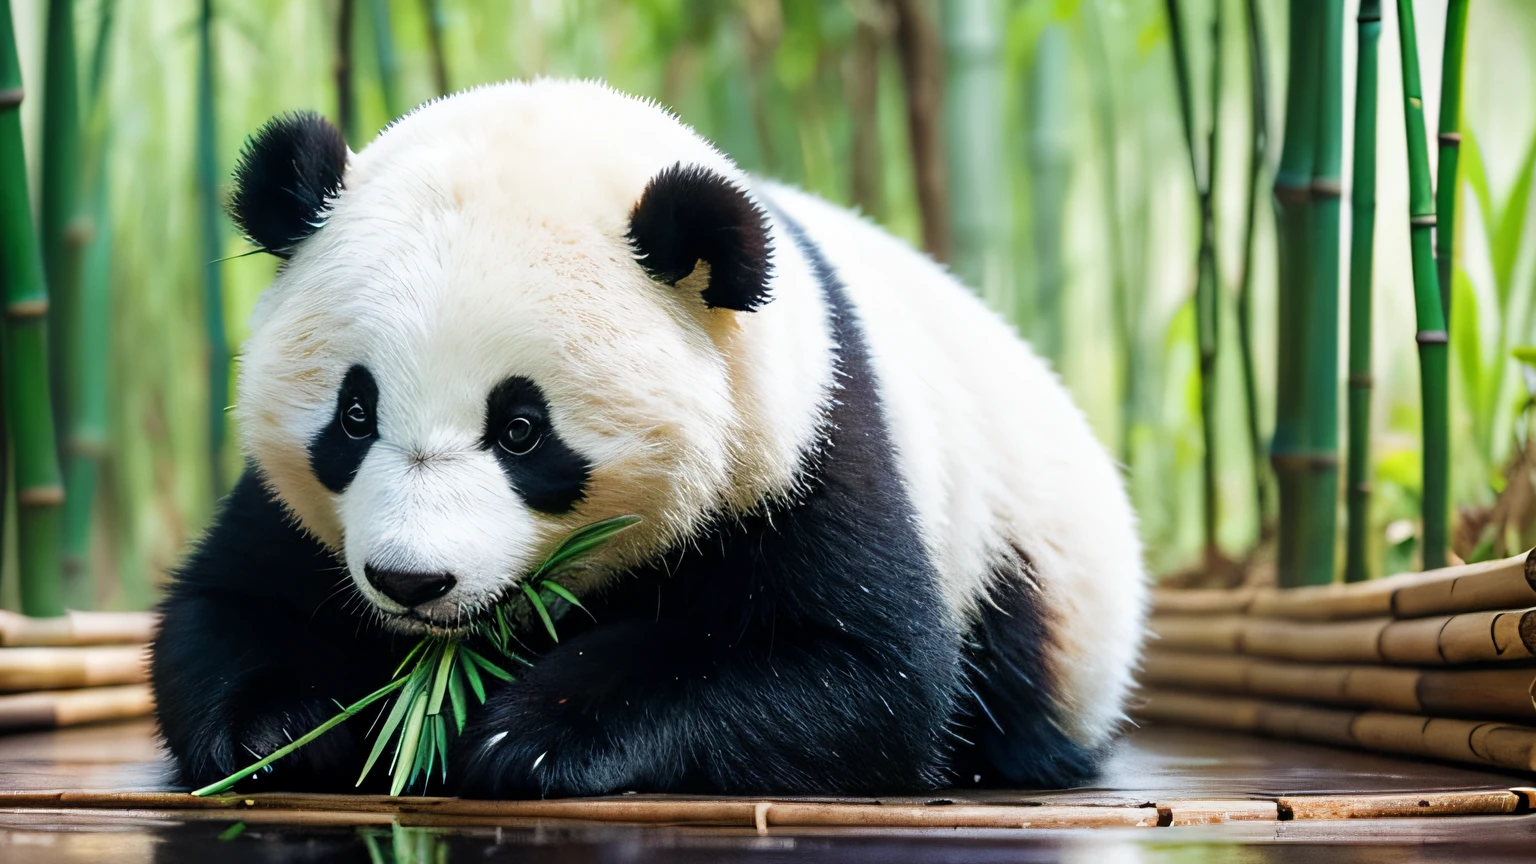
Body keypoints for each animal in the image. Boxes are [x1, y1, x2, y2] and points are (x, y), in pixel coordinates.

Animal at [149, 79, 1148, 793]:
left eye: (521, 431)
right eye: (355, 416)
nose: (410, 580)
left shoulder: (809, 450)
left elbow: (856, 670)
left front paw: (531, 735)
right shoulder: (288, 517)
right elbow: (225, 608)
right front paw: (282, 728)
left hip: (1027, 564)